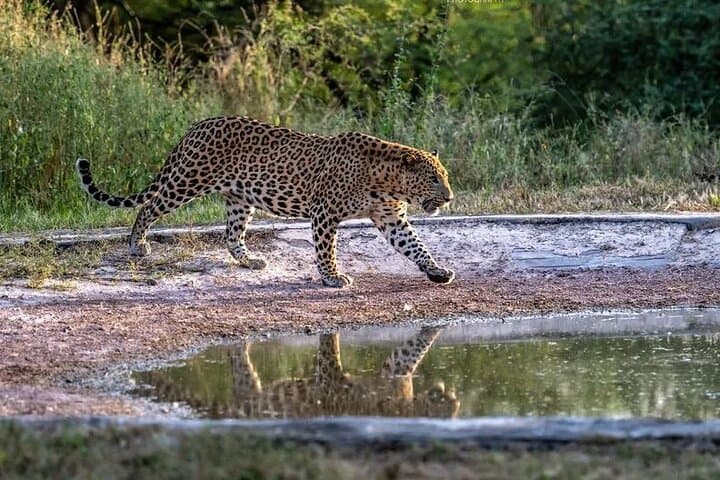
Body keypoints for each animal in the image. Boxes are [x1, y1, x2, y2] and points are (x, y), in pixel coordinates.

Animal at [76, 116, 455, 287]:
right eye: (434, 179)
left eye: (445, 176)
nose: (450, 198)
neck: (389, 182)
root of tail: (197, 126)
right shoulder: (324, 213)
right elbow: (326, 249)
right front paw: (332, 277)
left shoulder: (392, 218)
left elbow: (415, 245)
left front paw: (436, 270)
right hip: (187, 181)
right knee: (149, 207)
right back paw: (137, 245)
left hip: (239, 199)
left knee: (231, 235)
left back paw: (250, 261)